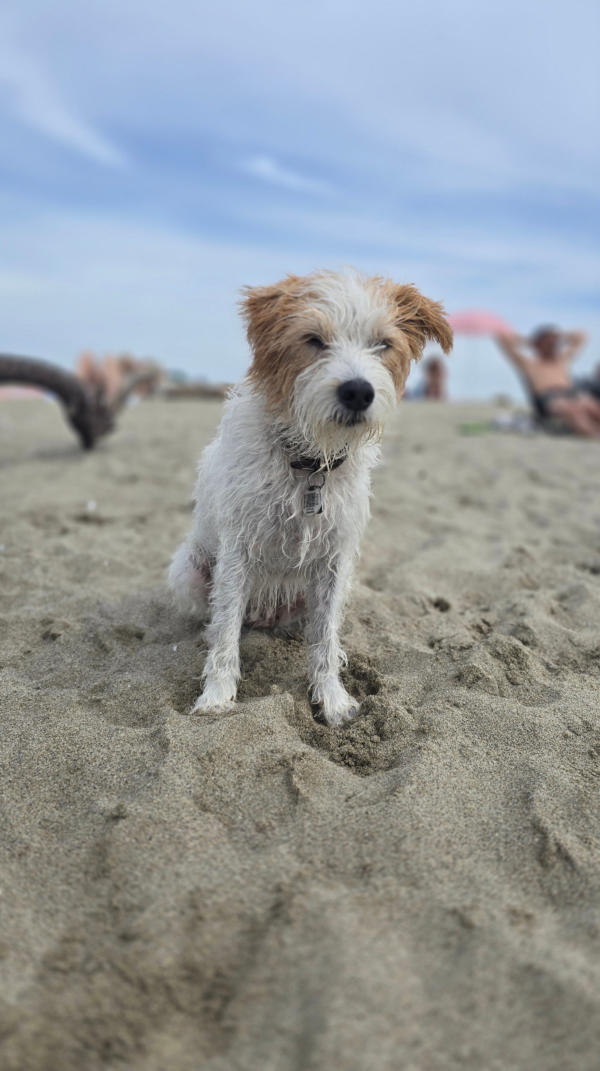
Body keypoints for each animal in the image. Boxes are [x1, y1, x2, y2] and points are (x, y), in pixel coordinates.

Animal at [169, 270, 452, 726]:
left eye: (383, 343)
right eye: (314, 339)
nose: (358, 392)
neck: (308, 465)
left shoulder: (334, 561)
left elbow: (324, 640)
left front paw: (332, 698)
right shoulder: (237, 551)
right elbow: (226, 631)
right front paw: (216, 697)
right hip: (190, 572)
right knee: (217, 617)